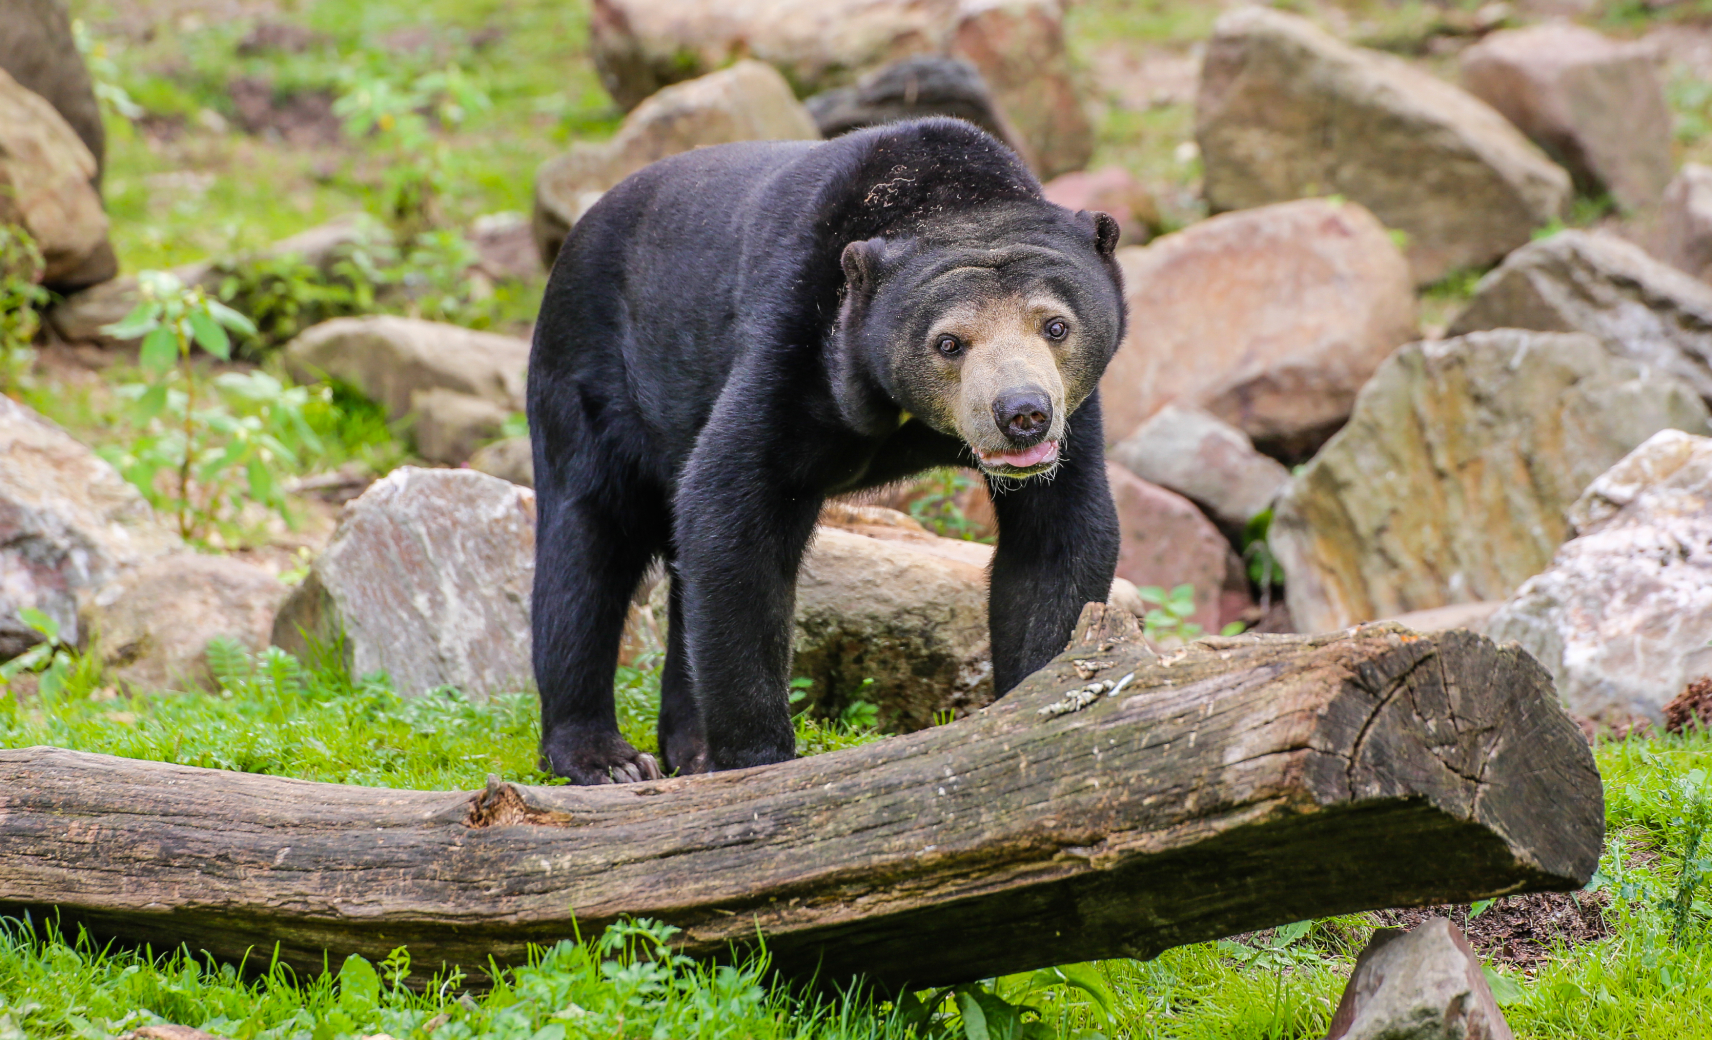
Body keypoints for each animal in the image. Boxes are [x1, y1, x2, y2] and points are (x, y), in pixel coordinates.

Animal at [529, 117, 1125, 784]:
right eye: (949, 342)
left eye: (1056, 326)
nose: (1022, 414)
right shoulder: (791, 341)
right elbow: (731, 516)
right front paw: (756, 759)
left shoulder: (1077, 415)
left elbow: (1057, 539)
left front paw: (1037, 704)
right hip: (586, 371)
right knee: (587, 545)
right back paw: (604, 759)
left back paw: (687, 747)